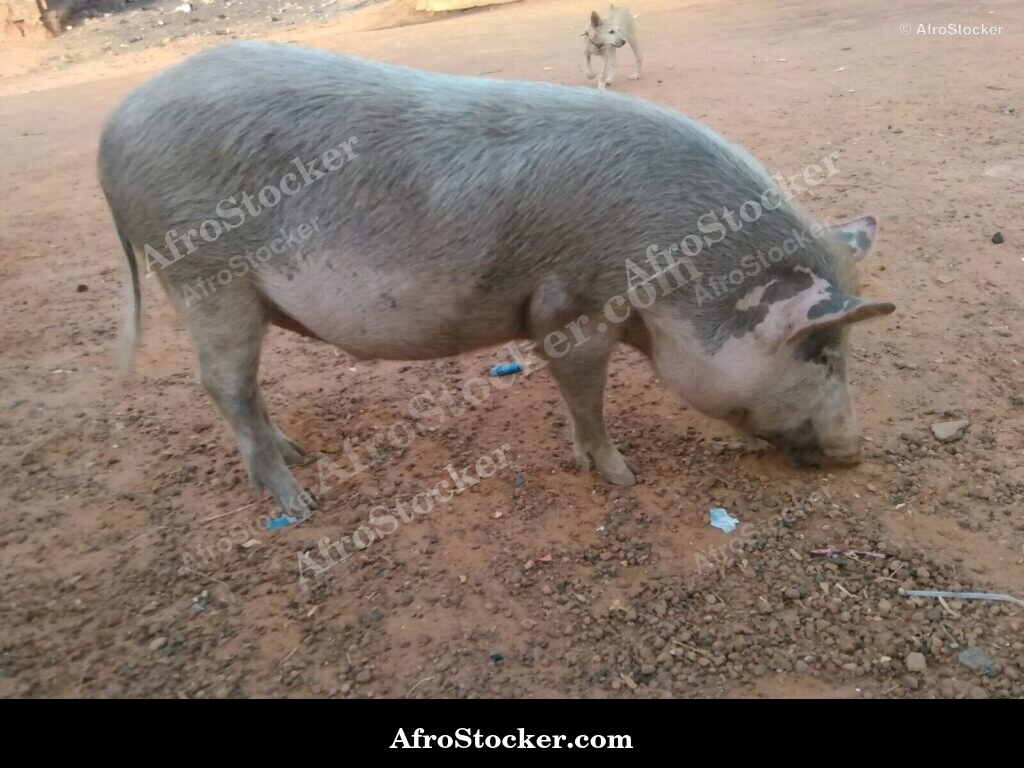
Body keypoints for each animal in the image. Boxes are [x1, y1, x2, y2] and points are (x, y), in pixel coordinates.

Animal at [99, 41, 895, 516]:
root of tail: (110, 131)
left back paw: (297, 457)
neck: (675, 270)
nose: (856, 453)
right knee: (224, 385)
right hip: (204, 275)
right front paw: (622, 477)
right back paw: (300, 504)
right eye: (823, 351)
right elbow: (585, 394)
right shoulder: (575, 303)